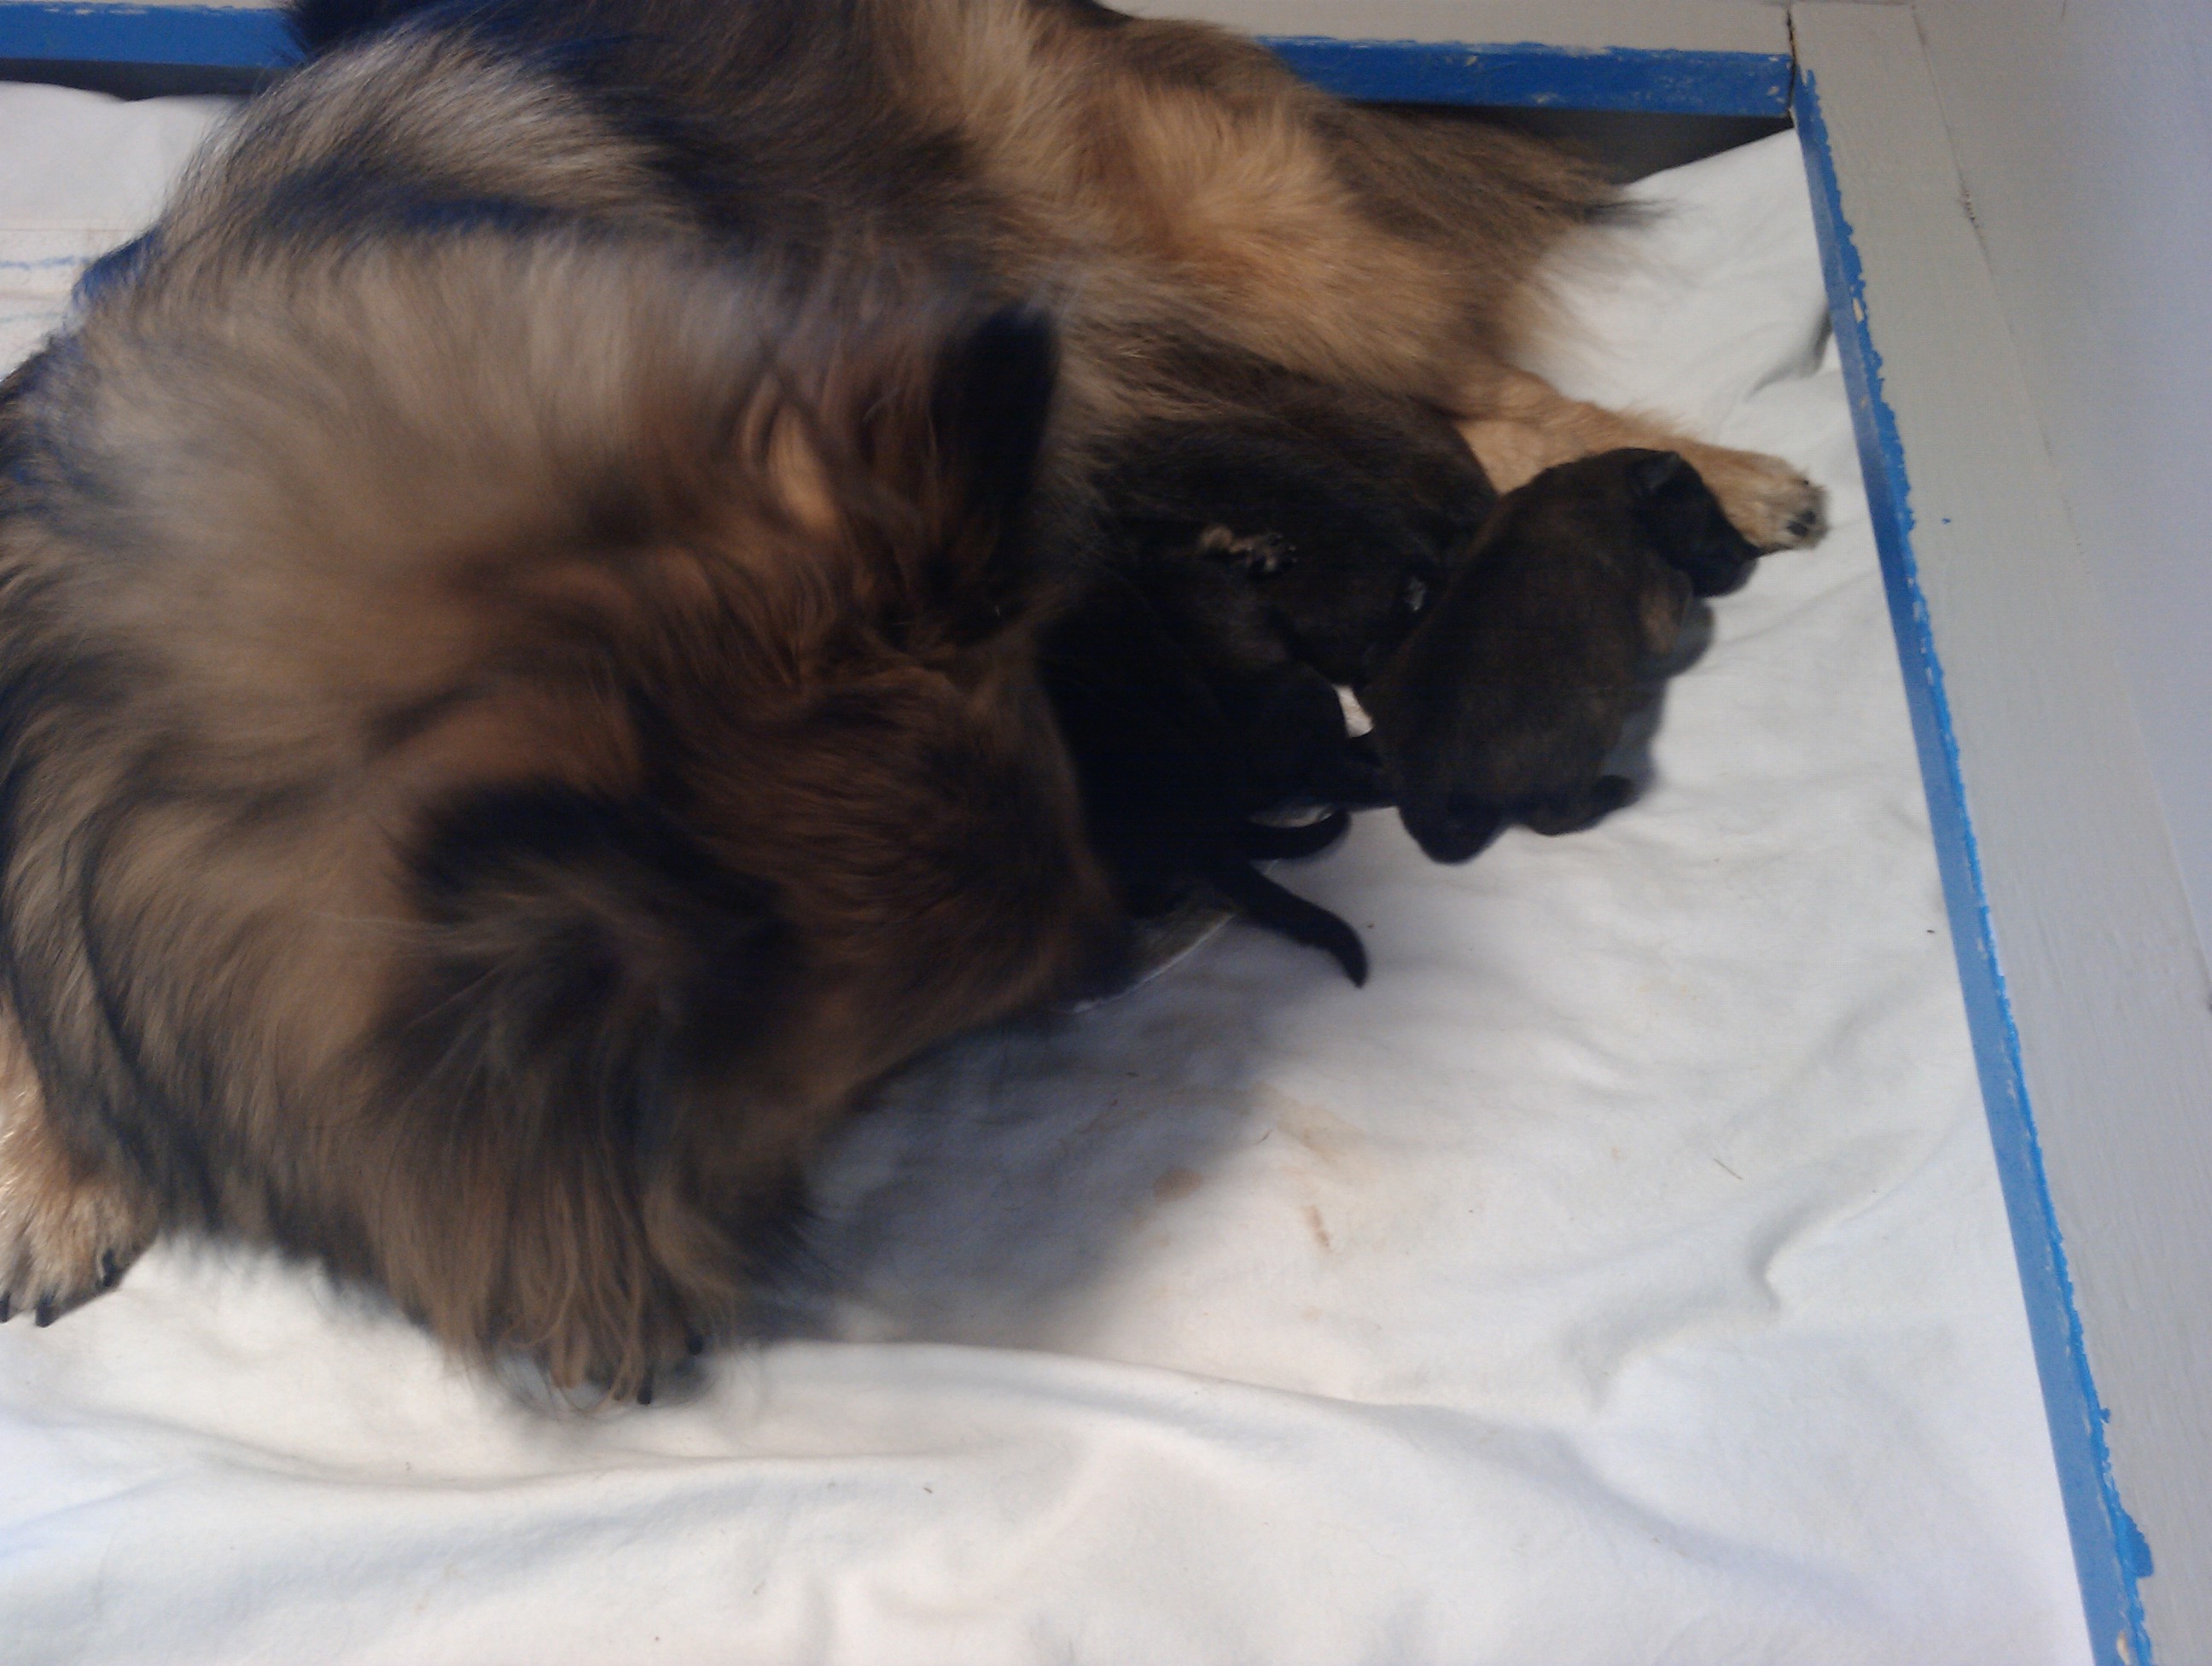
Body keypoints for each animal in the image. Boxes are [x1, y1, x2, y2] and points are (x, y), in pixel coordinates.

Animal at [1364, 449, 1762, 863]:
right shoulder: (1659, 602)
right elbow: (1680, 587)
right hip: (1592, 724)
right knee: (1552, 817)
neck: (1591, 483)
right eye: (1706, 513)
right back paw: (1614, 790)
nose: (1752, 552)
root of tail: (1425, 791)